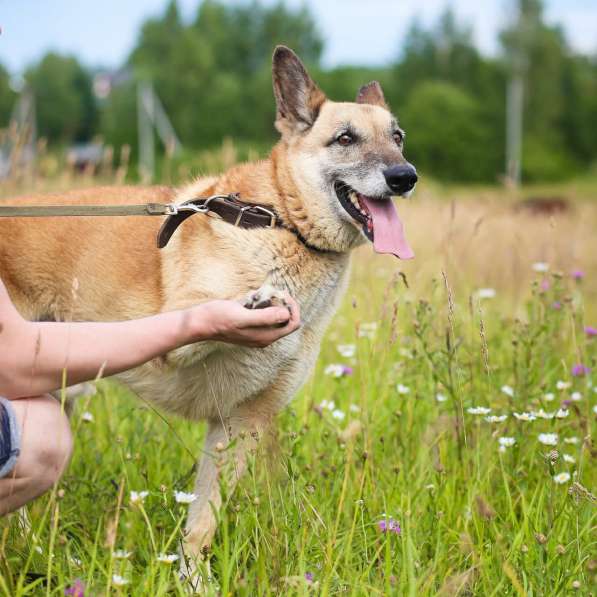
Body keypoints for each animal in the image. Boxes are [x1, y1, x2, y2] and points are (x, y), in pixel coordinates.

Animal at [0, 45, 416, 576]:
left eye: (397, 138)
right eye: (346, 138)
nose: (405, 177)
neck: (281, 220)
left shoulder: (238, 424)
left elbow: (202, 523)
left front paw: (192, 579)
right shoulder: (175, 337)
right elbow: (210, 312)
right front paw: (255, 299)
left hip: (62, 392)